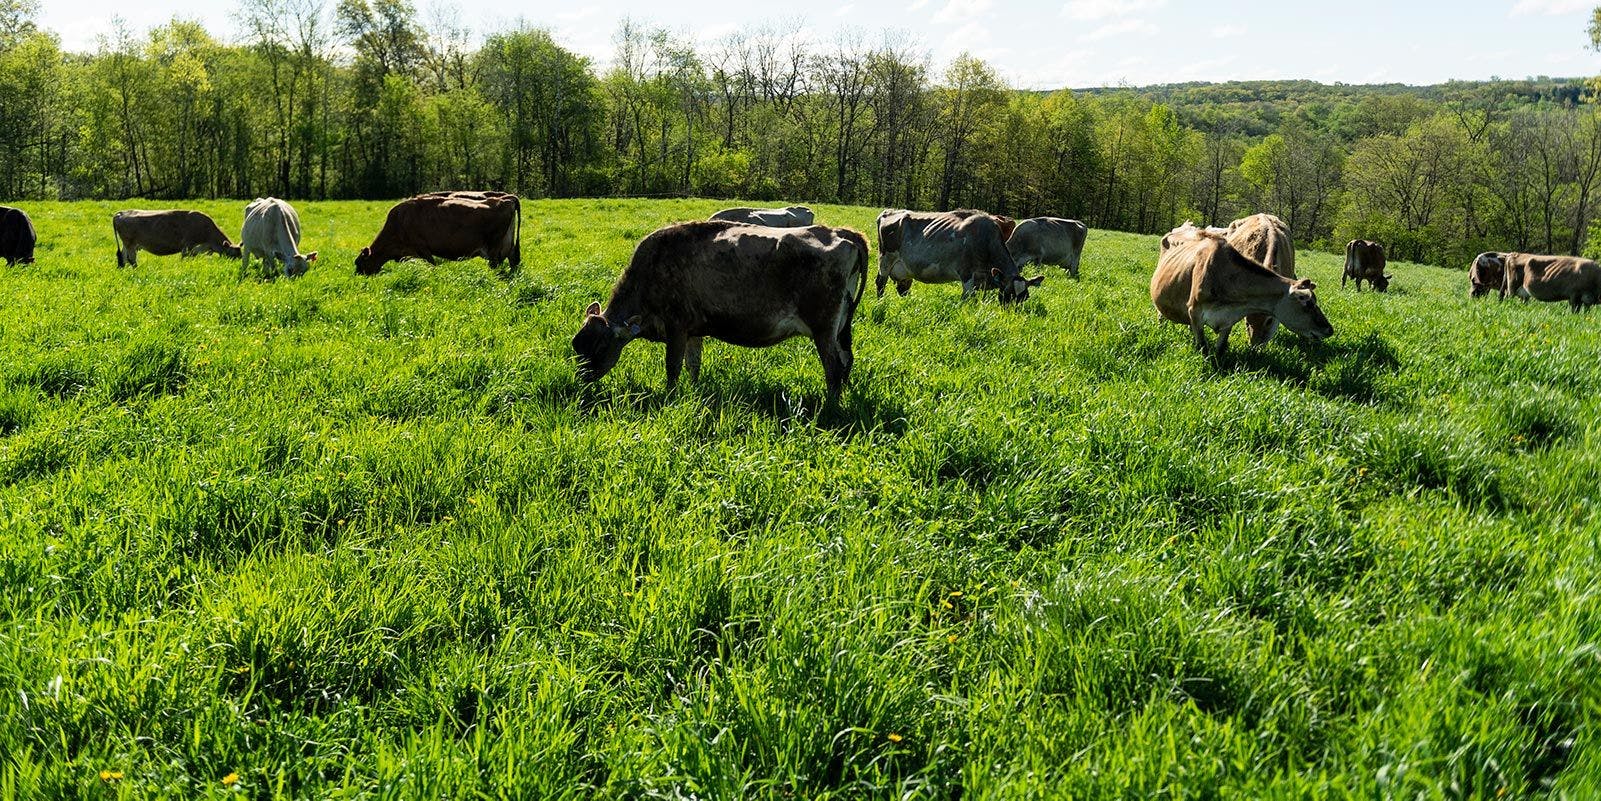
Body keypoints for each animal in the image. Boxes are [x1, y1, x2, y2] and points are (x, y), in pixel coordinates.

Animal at [355, 189, 518, 275]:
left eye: (359, 264)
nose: (357, 277)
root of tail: (506, 199)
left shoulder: (422, 249)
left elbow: (432, 265)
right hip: (508, 247)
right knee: (514, 262)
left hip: (493, 251)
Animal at [576, 221, 870, 400]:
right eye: (576, 345)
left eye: (601, 347)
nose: (581, 380)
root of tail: (842, 232)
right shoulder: (694, 330)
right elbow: (692, 365)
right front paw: (693, 392)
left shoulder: (676, 326)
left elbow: (672, 366)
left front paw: (669, 396)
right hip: (841, 328)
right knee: (846, 361)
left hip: (823, 328)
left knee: (833, 367)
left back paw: (830, 406)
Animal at [870, 208, 1043, 301]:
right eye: (1008, 294)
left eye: (1025, 297)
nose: (1012, 315)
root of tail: (889, 211)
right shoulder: (966, 274)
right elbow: (968, 299)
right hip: (885, 260)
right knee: (880, 283)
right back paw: (881, 302)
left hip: (905, 271)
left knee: (903, 289)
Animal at [1159, 229, 1332, 360]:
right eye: (1307, 302)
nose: (1330, 330)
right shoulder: (1194, 311)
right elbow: (1204, 348)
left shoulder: (1229, 318)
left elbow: (1220, 349)